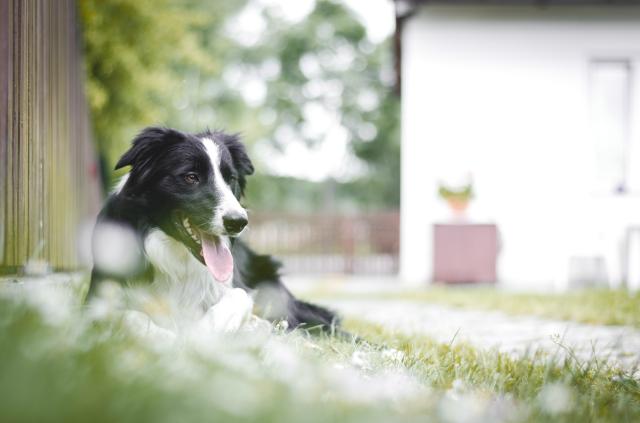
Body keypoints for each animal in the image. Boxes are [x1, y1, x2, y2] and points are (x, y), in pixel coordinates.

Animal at [91, 127, 340, 336]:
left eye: (231, 179)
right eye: (191, 177)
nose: (238, 222)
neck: (179, 260)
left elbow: (240, 295)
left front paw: (204, 332)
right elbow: (127, 316)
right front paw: (165, 338)